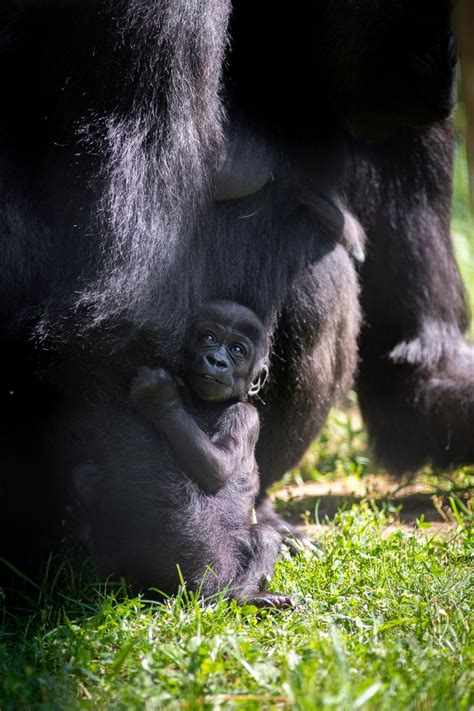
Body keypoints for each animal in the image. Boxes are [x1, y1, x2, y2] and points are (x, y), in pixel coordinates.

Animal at [74, 298, 292, 608]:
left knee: (263, 537)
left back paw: (246, 595)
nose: (216, 360)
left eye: (238, 350)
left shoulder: (245, 415)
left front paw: (160, 398)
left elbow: (217, 468)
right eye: (208, 337)